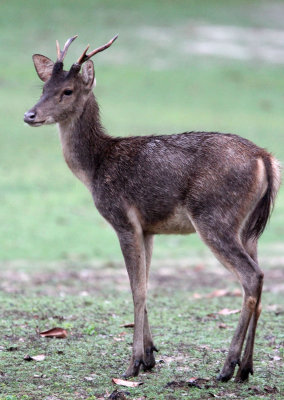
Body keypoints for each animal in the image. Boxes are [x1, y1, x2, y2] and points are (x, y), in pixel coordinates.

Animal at [24, 35, 282, 382]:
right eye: (43, 87)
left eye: (67, 91)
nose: (30, 115)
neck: (95, 167)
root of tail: (265, 159)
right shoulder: (148, 229)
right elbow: (145, 284)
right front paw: (149, 356)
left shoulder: (123, 219)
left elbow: (136, 288)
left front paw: (133, 363)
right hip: (249, 227)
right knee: (261, 276)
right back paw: (246, 367)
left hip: (214, 217)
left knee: (251, 276)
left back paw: (228, 366)